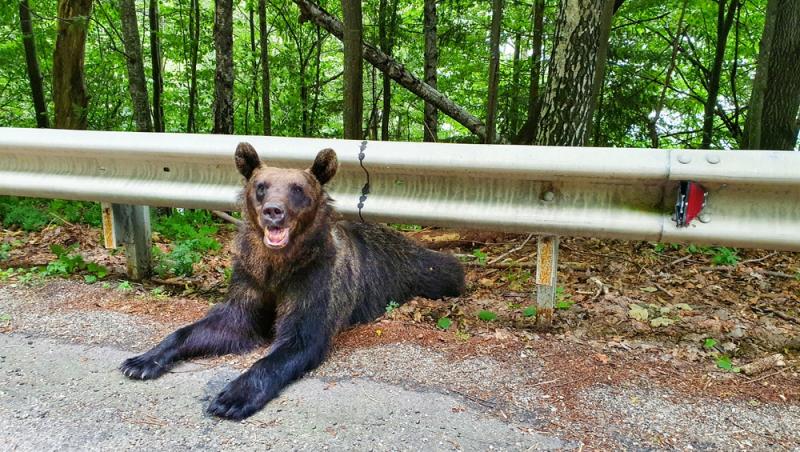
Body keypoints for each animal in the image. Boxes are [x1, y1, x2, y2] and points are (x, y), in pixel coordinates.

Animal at [121, 143, 466, 418]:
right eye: (261, 185)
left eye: (297, 189)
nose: (274, 211)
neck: (278, 266)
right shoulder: (252, 280)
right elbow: (215, 325)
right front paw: (141, 361)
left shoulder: (312, 282)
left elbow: (295, 341)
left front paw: (233, 396)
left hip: (421, 269)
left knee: (446, 269)